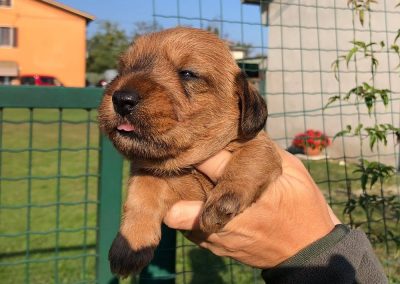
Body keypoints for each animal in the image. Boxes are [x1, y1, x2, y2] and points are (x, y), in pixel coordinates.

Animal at [98, 27, 282, 278]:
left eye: (187, 73)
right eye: (123, 69)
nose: (121, 99)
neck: (189, 162)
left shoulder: (262, 146)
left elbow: (249, 160)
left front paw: (223, 200)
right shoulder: (146, 170)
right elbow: (140, 198)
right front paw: (130, 245)